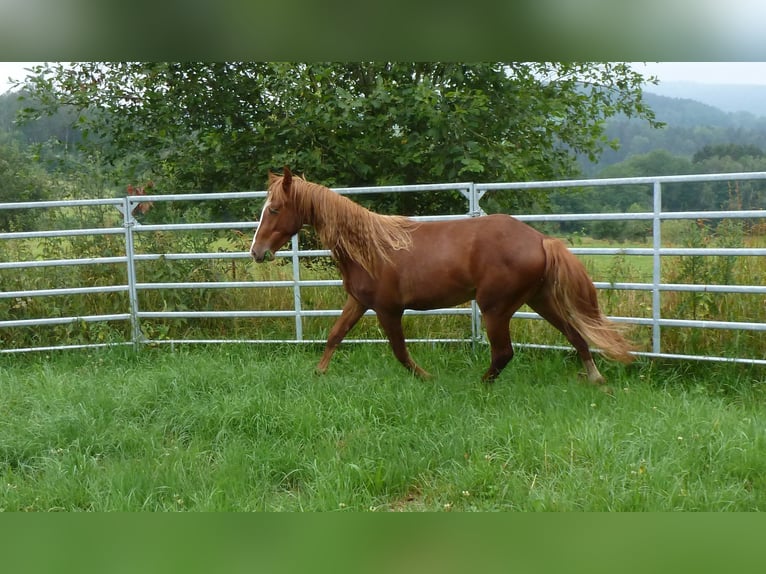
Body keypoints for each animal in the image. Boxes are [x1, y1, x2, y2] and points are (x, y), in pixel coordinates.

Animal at [250, 167, 635, 384]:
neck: (369, 247)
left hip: (495, 308)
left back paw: (480, 384)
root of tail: (541, 239)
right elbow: (334, 336)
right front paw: (318, 374)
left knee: (504, 353)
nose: (256, 251)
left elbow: (400, 352)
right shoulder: (358, 302)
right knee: (575, 335)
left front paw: (426, 378)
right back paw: (596, 379)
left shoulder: (388, 310)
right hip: (539, 300)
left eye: (275, 209)